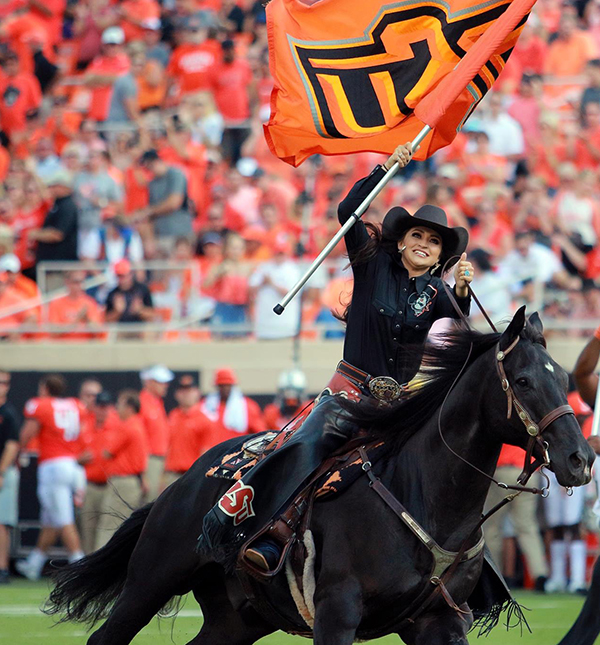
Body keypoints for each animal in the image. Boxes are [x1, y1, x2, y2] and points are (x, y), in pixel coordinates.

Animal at [48, 308, 596, 644]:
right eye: (523, 380)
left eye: (566, 378)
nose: (580, 458)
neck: (424, 497)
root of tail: (180, 486)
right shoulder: (336, 613)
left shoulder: (440, 620)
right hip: (150, 582)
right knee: (105, 636)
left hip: (237, 619)